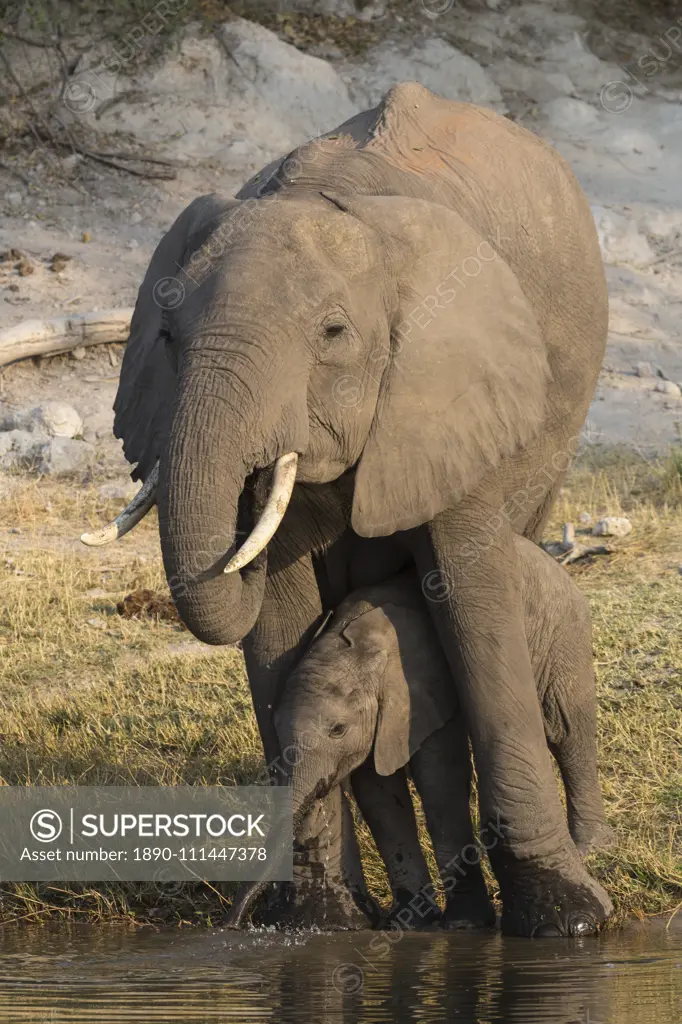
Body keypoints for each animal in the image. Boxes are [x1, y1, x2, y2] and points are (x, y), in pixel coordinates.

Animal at [274, 540, 606, 933]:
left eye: (337, 729)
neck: (354, 648)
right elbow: (377, 788)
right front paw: (411, 922)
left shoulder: (424, 685)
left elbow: (439, 776)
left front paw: (463, 925)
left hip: (562, 627)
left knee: (567, 729)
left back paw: (593, 848)